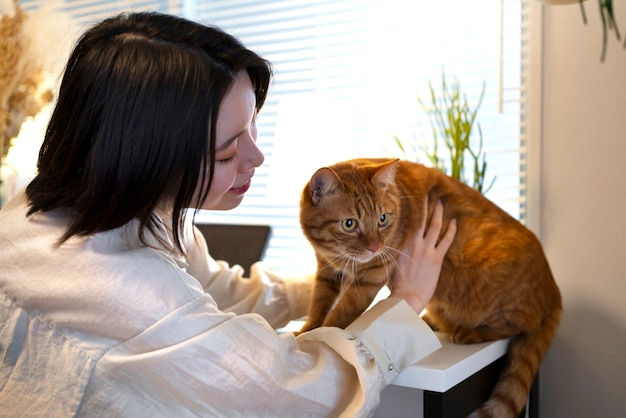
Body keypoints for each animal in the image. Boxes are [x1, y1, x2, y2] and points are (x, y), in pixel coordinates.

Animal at [298, 158, 560, 418]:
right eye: (349, 224)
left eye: (382, 219)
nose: (375, 247)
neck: (336, 256)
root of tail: (553, 287)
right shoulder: (326, 272)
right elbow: (318, 304)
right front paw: (306, 330)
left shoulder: (370, 277)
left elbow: (339, 313)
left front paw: (315, 336)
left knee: (518, 326)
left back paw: (469, 332)